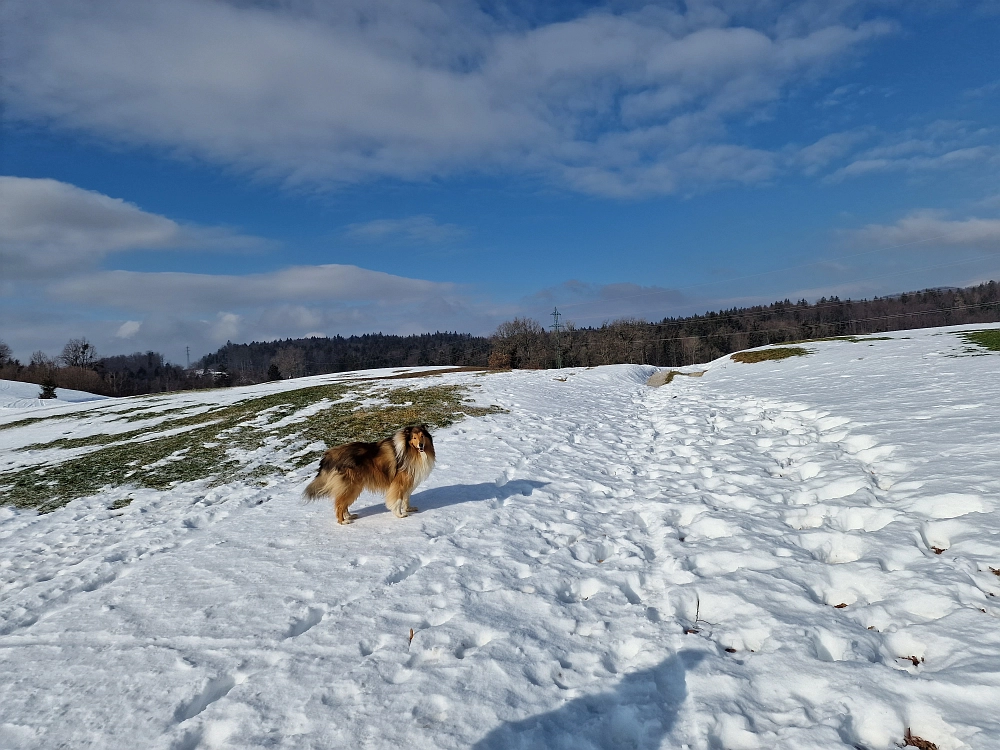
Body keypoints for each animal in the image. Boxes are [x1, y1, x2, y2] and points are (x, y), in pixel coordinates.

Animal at [300, 426, 434, 524]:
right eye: (414, 437)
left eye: (422, 436)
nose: (421, 445)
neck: (410, 450)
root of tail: (329, 455)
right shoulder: (399, 483)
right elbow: (398, 500)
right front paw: (400, 514)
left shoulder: (408, 481)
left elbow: (406, 498)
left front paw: (409, 509)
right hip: (351, 487)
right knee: (339, 504)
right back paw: (343, 522)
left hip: (351, 487)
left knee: (343, 504)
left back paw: (349, 516)